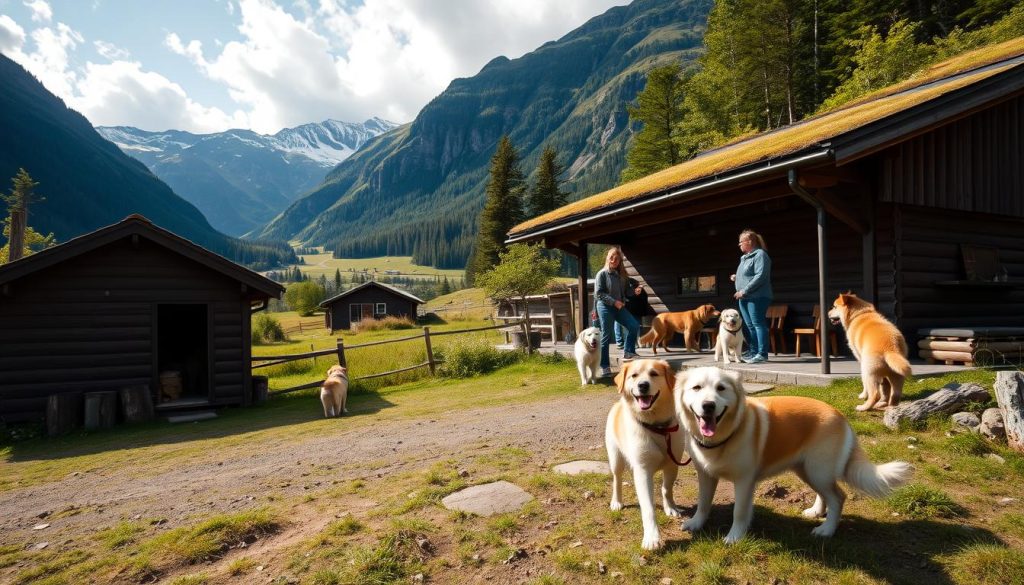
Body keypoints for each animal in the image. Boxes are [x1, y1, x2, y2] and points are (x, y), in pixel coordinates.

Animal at [606, 358, 688, 553]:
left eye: (653, 374)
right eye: (634, 375)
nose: (642, 385)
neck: (657, 427)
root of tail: (617, 405)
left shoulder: (673, 464)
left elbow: (667, 489)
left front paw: (670, 508)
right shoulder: (643, 471)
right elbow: (648, 507)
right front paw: (652, 537)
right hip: (616, 459)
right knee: (617, 480)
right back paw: (616, 501)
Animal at [675, 366, 909, 545]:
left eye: (721, 388)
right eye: (696, 388)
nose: (708, 406)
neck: (724, 436)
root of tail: (840, 415)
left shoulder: (744, 482)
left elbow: (739, 512)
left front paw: (734, 537)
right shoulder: (705, 475)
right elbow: (703, 503)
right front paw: (696, 523)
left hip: (818, 471)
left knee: (838, 497)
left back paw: (826, 530)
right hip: (807, 470)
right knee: (826, 495)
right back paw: (815, 512)